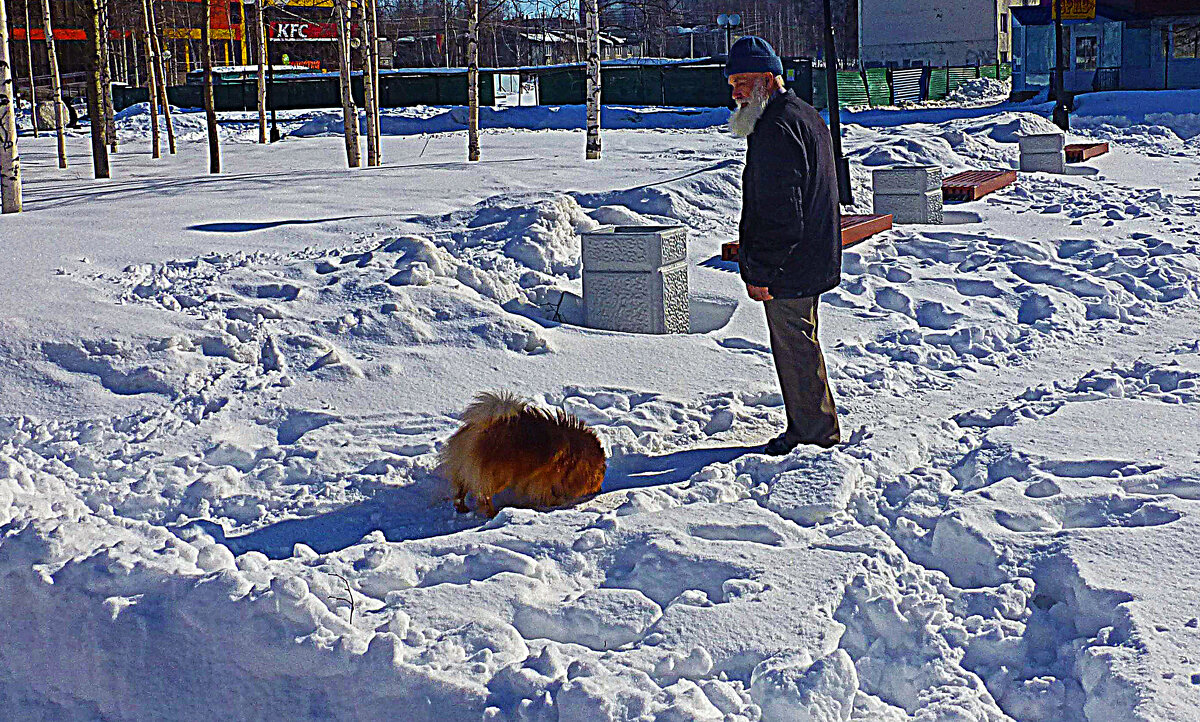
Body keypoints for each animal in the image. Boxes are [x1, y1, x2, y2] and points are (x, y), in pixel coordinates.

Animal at [439, 390, 609, 513]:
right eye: (600, 473)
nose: (600, 488)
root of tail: (480, 428)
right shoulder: (545, 478)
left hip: (463, 469)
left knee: (460, 491)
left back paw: (462, 508)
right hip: (498, 476)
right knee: (484, 497)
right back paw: (492, 514)